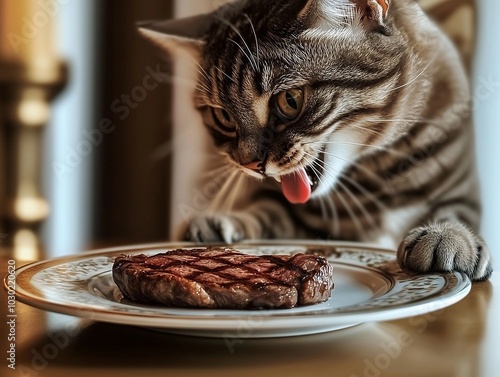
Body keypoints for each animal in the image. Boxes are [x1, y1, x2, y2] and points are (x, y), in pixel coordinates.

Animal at [140, 0, 492, 280]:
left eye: (290, 100)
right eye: (223, 116)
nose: (250, 163)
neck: (374, 173)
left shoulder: (462, 189)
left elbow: (453, 212)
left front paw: (447, 235)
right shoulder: (294, 215)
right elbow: (264, 212)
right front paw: (224, 222)